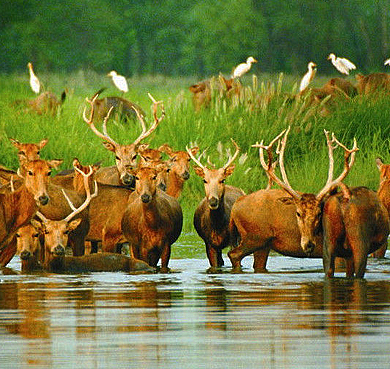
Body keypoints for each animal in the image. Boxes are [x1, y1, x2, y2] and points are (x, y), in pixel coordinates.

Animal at [186, 139, 244, 268]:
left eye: (222, 180)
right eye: (204, 180)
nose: (213, 200)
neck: (217, 226)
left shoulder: (233, 239)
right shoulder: (209, 243)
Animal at [229, 126, 360, 274]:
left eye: (319, 213)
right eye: (298, 213)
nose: (308, 245)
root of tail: (236, 205)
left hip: (263, 244)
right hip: (254, 236)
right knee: (233, 254)